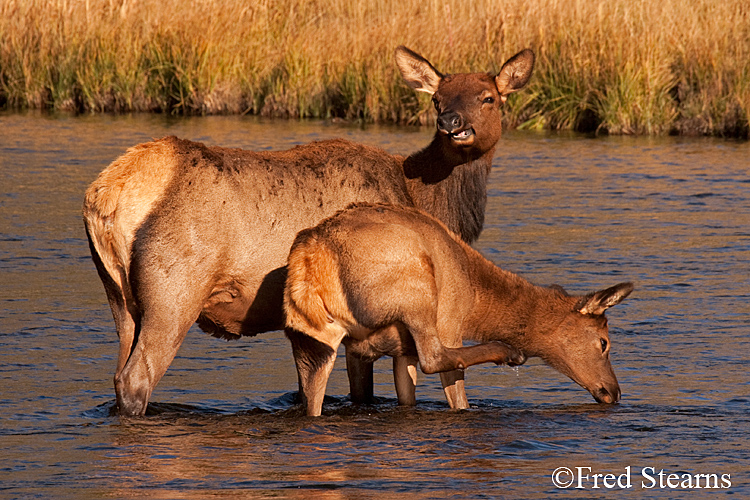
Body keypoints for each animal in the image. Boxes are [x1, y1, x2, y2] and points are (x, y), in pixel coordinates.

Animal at [85, 46, 536, 414]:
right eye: (437, 98)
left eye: (489, 97)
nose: (451, 122)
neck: (424, 196)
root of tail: (107, 193)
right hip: (174, 292)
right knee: (137, 379)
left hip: (120, 300)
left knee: (117, 374)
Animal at [284, 201, 636, 416]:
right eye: (604, 342)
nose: (614, 392)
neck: (477, 301)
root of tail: (310, 254)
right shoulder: (451, 323)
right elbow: (456, 393)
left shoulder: (402, 352)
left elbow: (407, 397)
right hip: (418, 288)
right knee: (434, 357)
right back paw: (508, 352)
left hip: (313, 339)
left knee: (311, 398)